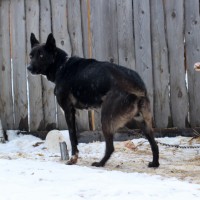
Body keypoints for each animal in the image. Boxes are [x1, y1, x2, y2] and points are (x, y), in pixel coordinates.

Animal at [28, 32, 159, 167]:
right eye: (31, 55)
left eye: (41, 56)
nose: (29, 68)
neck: (61, 66)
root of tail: (137, 85)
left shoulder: (68, 111)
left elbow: (72, 136)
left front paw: (73, 159)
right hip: (142, 121)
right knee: (154, 144)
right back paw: (154, 163)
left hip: (106, 118)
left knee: (110, 147)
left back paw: (100, 163)